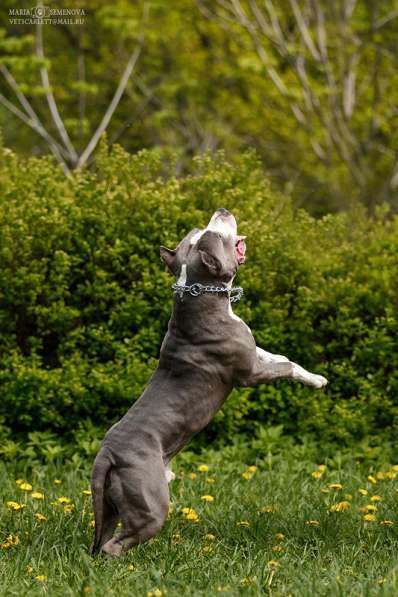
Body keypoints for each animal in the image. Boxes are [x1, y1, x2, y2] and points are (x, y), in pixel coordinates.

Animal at [90, 208, 326, 556]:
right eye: (215, 235)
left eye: (198, 233)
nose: (221, 211)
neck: (199, 294)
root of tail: (107, 453)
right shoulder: (249, 373)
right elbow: (287, 366)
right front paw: (317, 381)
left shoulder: (253, 352)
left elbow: (279, 356)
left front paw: (316, 375)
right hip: (150, 504)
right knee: (116, 544)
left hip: (109, 503)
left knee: (103, 535)